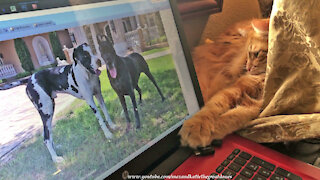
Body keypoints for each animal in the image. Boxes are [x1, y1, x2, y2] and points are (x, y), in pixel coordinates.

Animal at [180, 19, 270, 149]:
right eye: (250, 53)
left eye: (256, 54)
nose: (247, 68)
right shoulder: (235, 89)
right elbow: (212, 108)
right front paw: (197, 127)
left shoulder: (255, 105)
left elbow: (232, 118)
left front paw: (212, 131)